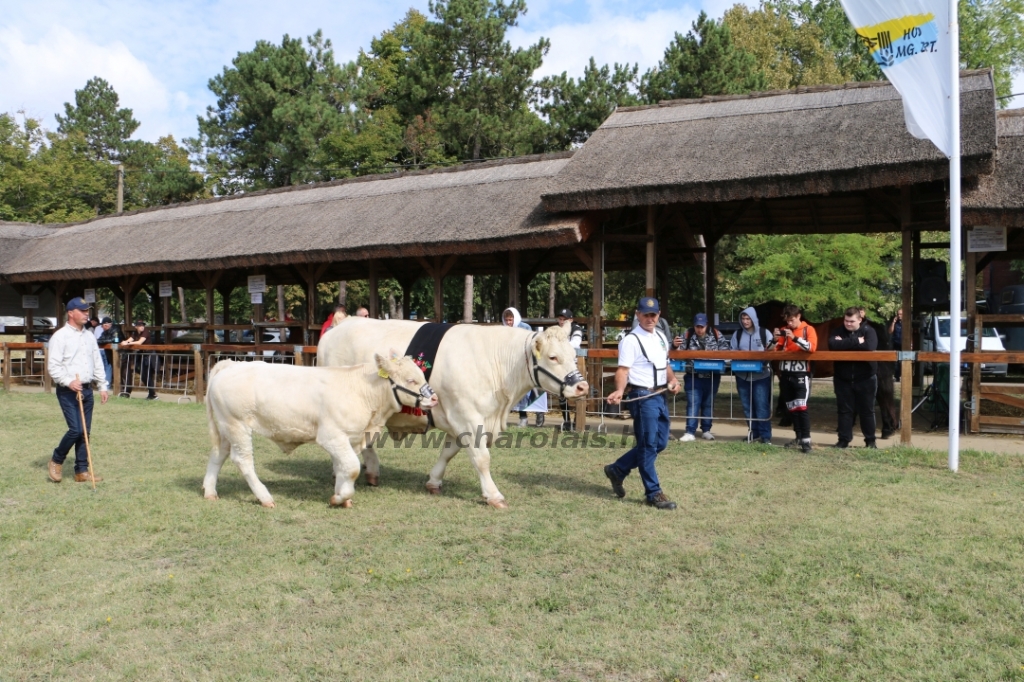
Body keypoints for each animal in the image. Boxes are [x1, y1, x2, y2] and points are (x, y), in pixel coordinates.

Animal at [202, 352, 436, 507]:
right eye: (411, 380)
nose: (434, 398)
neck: (362, 390)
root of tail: (232, 364)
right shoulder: (331, 437)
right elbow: (352, 467)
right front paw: (340, 497)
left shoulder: (350, 438)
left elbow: (343, 468)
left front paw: (342, 497)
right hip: (237, 425)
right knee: (243, 460)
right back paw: (265, 498)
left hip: (227, 427)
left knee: (218, 454)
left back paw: (210, 491)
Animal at [319, 317, 593, 503]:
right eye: (553, 357)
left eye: (573, 353)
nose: (582, 386)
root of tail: (340, 325)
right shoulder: (468, 416)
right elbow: (481, 458)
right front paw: (493, 495)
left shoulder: (458, 419)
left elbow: (449, 452)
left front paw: (434, 482)